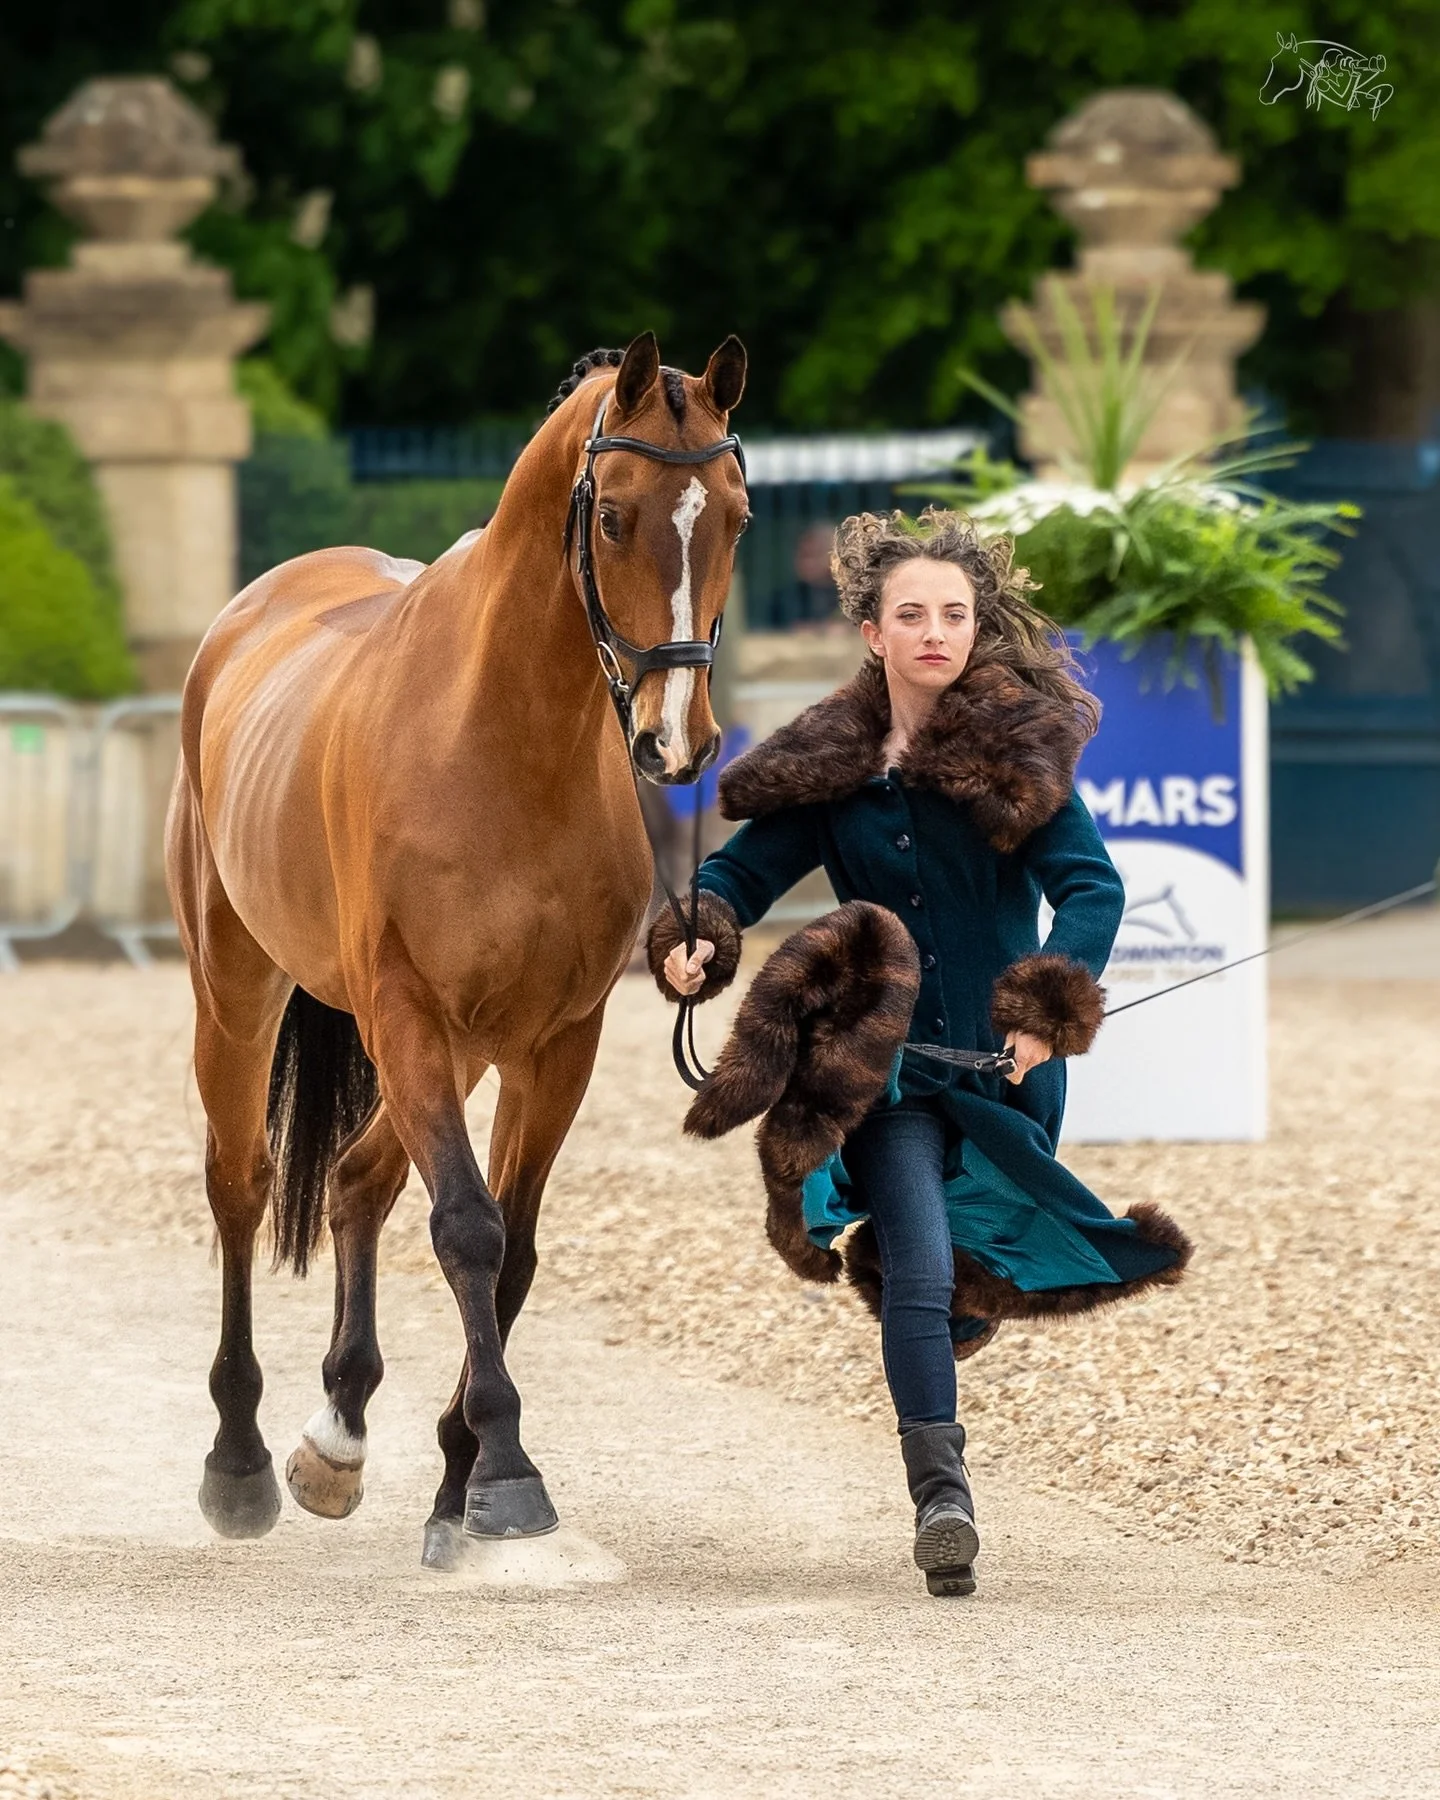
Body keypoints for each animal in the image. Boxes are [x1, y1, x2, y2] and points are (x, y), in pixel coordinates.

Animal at [164, 332, 749, 1566]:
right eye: (614, 516)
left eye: (737, 514)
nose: (676, 745)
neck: (503, 741)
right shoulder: (405, 1013)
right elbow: (469, 1230)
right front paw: (508, 1474)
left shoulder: (555, 1042)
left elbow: (511, 1248)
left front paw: (457, 1486)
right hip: (239, 994)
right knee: (243, 1186)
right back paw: (239, 1463)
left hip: (464, 1047)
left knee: (356, 1180)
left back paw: (337, 1439)